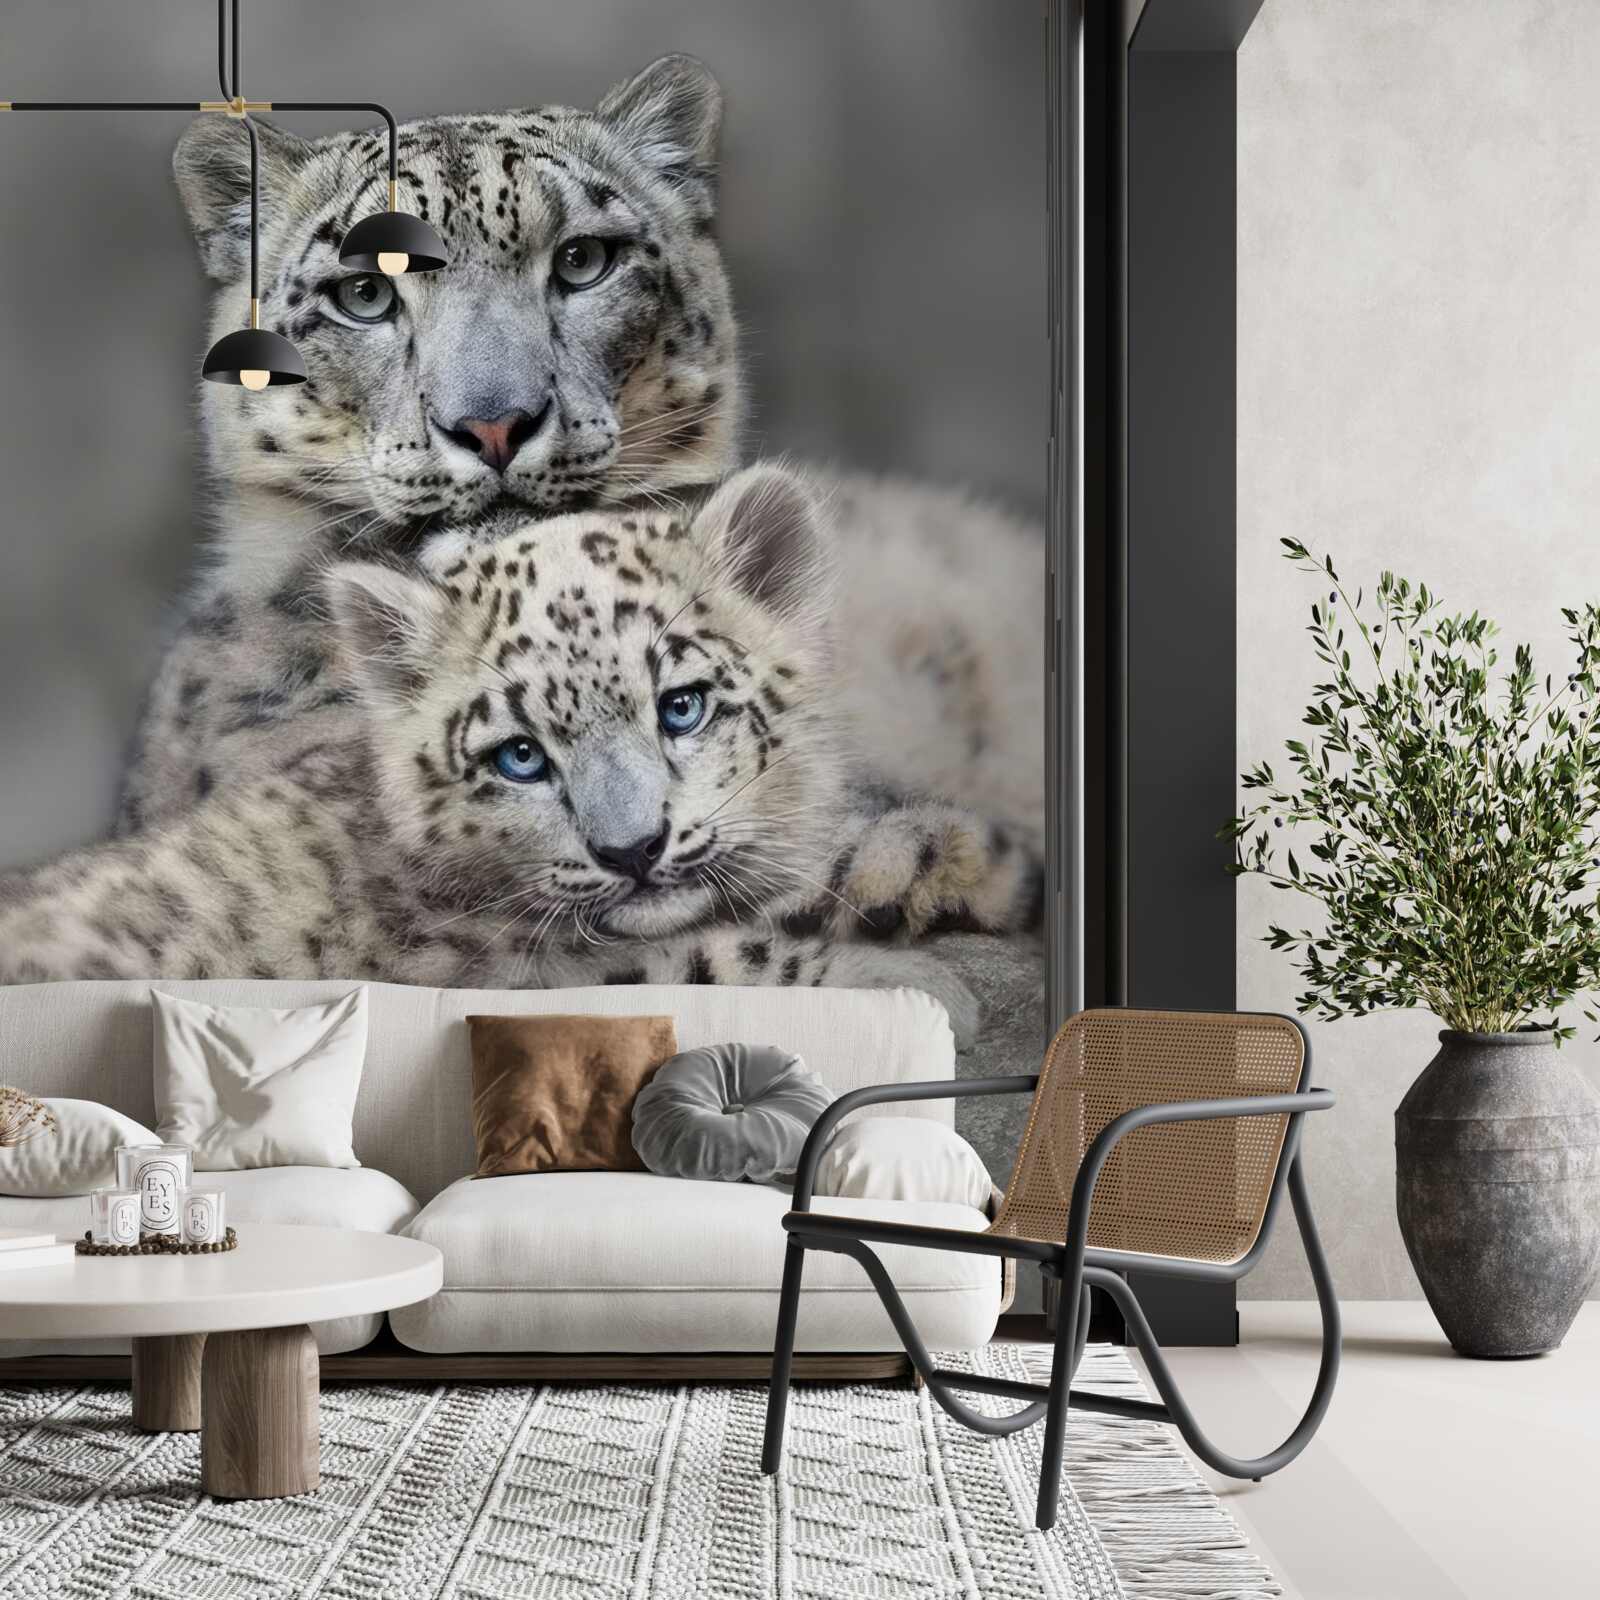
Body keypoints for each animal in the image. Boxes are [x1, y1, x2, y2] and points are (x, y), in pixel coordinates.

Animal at [0, 468, 981, 1042]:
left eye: (682, 705)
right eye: (520, 757)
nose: (632, 851)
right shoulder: (506, 970)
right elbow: (702, 961)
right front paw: (918, 983)